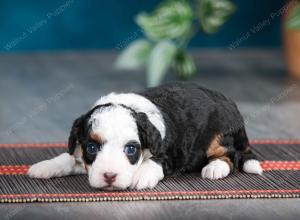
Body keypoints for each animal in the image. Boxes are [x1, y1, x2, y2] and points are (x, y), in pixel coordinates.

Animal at [28, 81, 262, 190]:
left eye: (131, 149)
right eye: (92, 148)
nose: (109, 176)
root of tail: (231, 104)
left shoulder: (170, 154)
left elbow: (154, 161)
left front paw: (141, 176)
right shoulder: (79, 151)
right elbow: (68, 157)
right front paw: (44, 167)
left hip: (218, 136)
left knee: (231, 154)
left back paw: (215, 168)